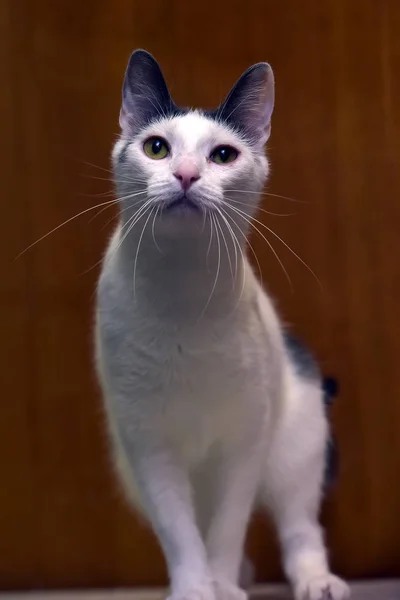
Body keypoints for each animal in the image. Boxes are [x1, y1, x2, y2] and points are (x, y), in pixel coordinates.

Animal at [94, 50, 350, 600]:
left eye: (223, 155)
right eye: (157, 147)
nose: (187, 174)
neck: (183, 288)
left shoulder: (246, 437)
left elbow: (230, 528)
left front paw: (223, 585)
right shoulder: (148, 445)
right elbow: (179, 531)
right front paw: (196, 587)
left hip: (296, 446)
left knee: (300, 529)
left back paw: (315, 580)